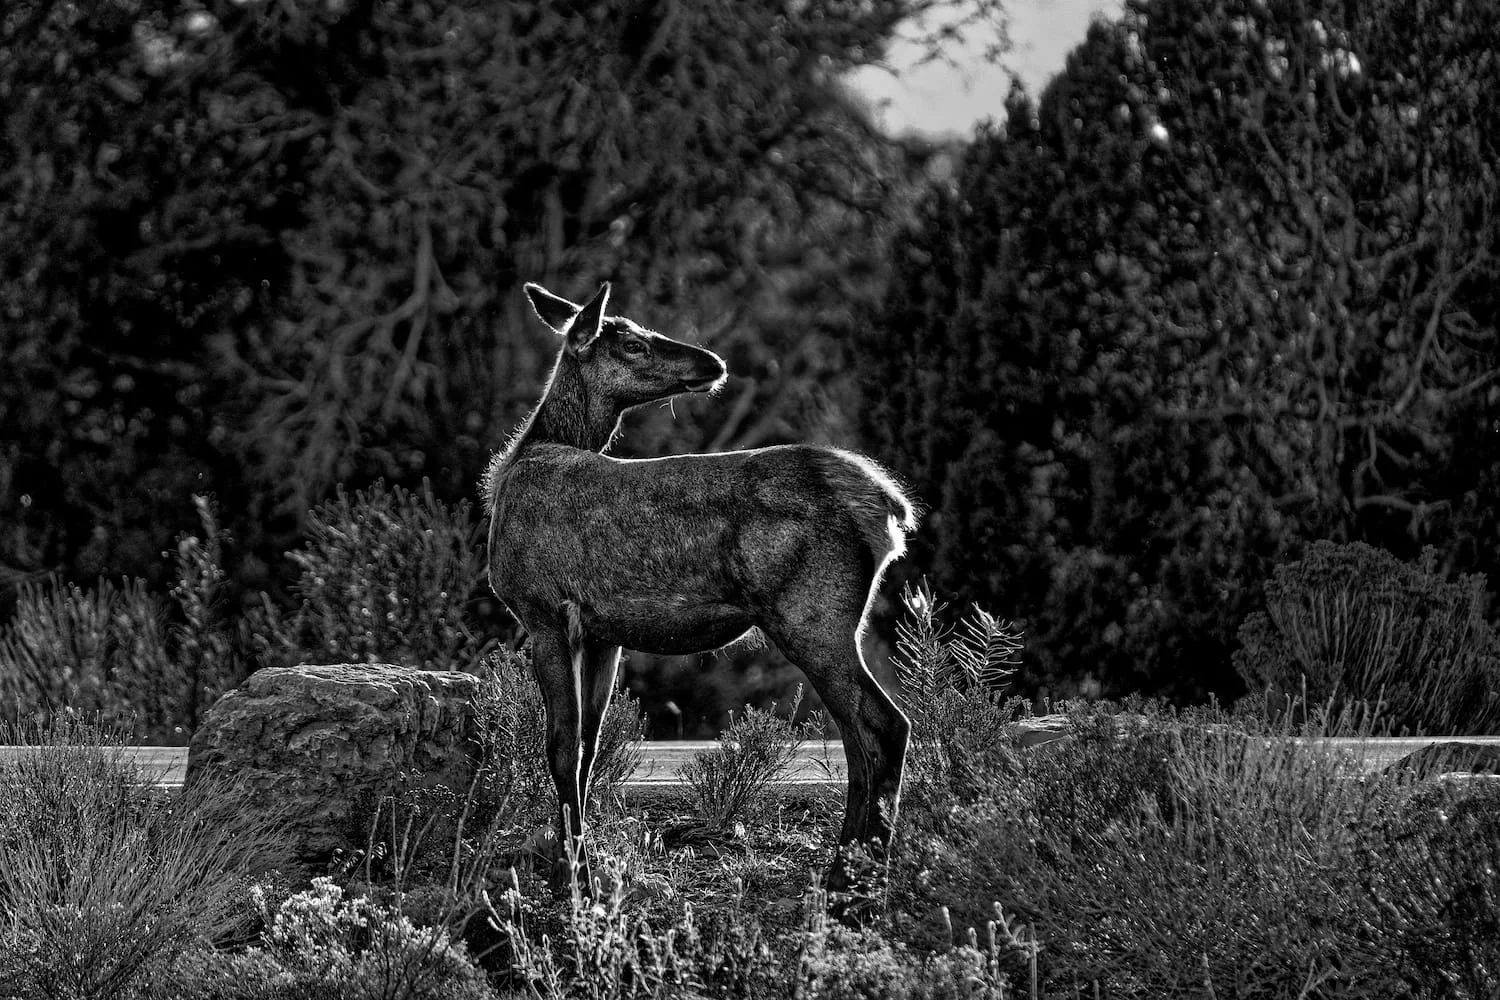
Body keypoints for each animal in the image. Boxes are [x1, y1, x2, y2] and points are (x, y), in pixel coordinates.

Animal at [482, 281, 916, 903]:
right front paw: (577, 865)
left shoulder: (542, 611)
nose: (713, 362)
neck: (524, 459)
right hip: (827, 621)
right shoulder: (602, 633)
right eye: (633, 342)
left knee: (884, 726)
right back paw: (847, 872)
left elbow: (561, 749)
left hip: (811, 613)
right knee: (859, 738)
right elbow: (589, 748)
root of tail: (889, 505)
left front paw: (577, 879)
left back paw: (853, 879)